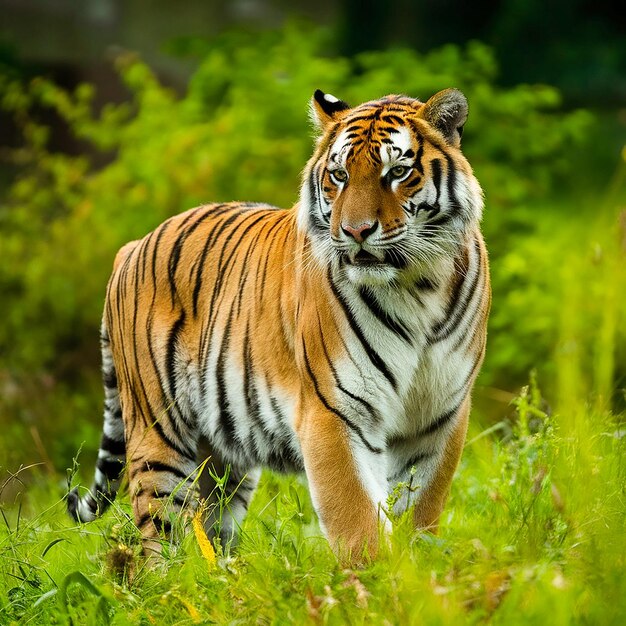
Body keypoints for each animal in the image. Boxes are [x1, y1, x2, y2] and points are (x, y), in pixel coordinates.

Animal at [67, 86, 488, 556]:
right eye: (339, 175)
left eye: (397, 171)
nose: (355, 231)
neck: (419, 283)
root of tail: (133, 246)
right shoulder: (334, 411)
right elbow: (358, 519)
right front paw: (379, 574)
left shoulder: (439, 416)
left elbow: (419, 512)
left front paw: (419, 570)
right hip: (157, 434)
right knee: (160, 541)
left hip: (222, 460)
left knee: (209, 529)